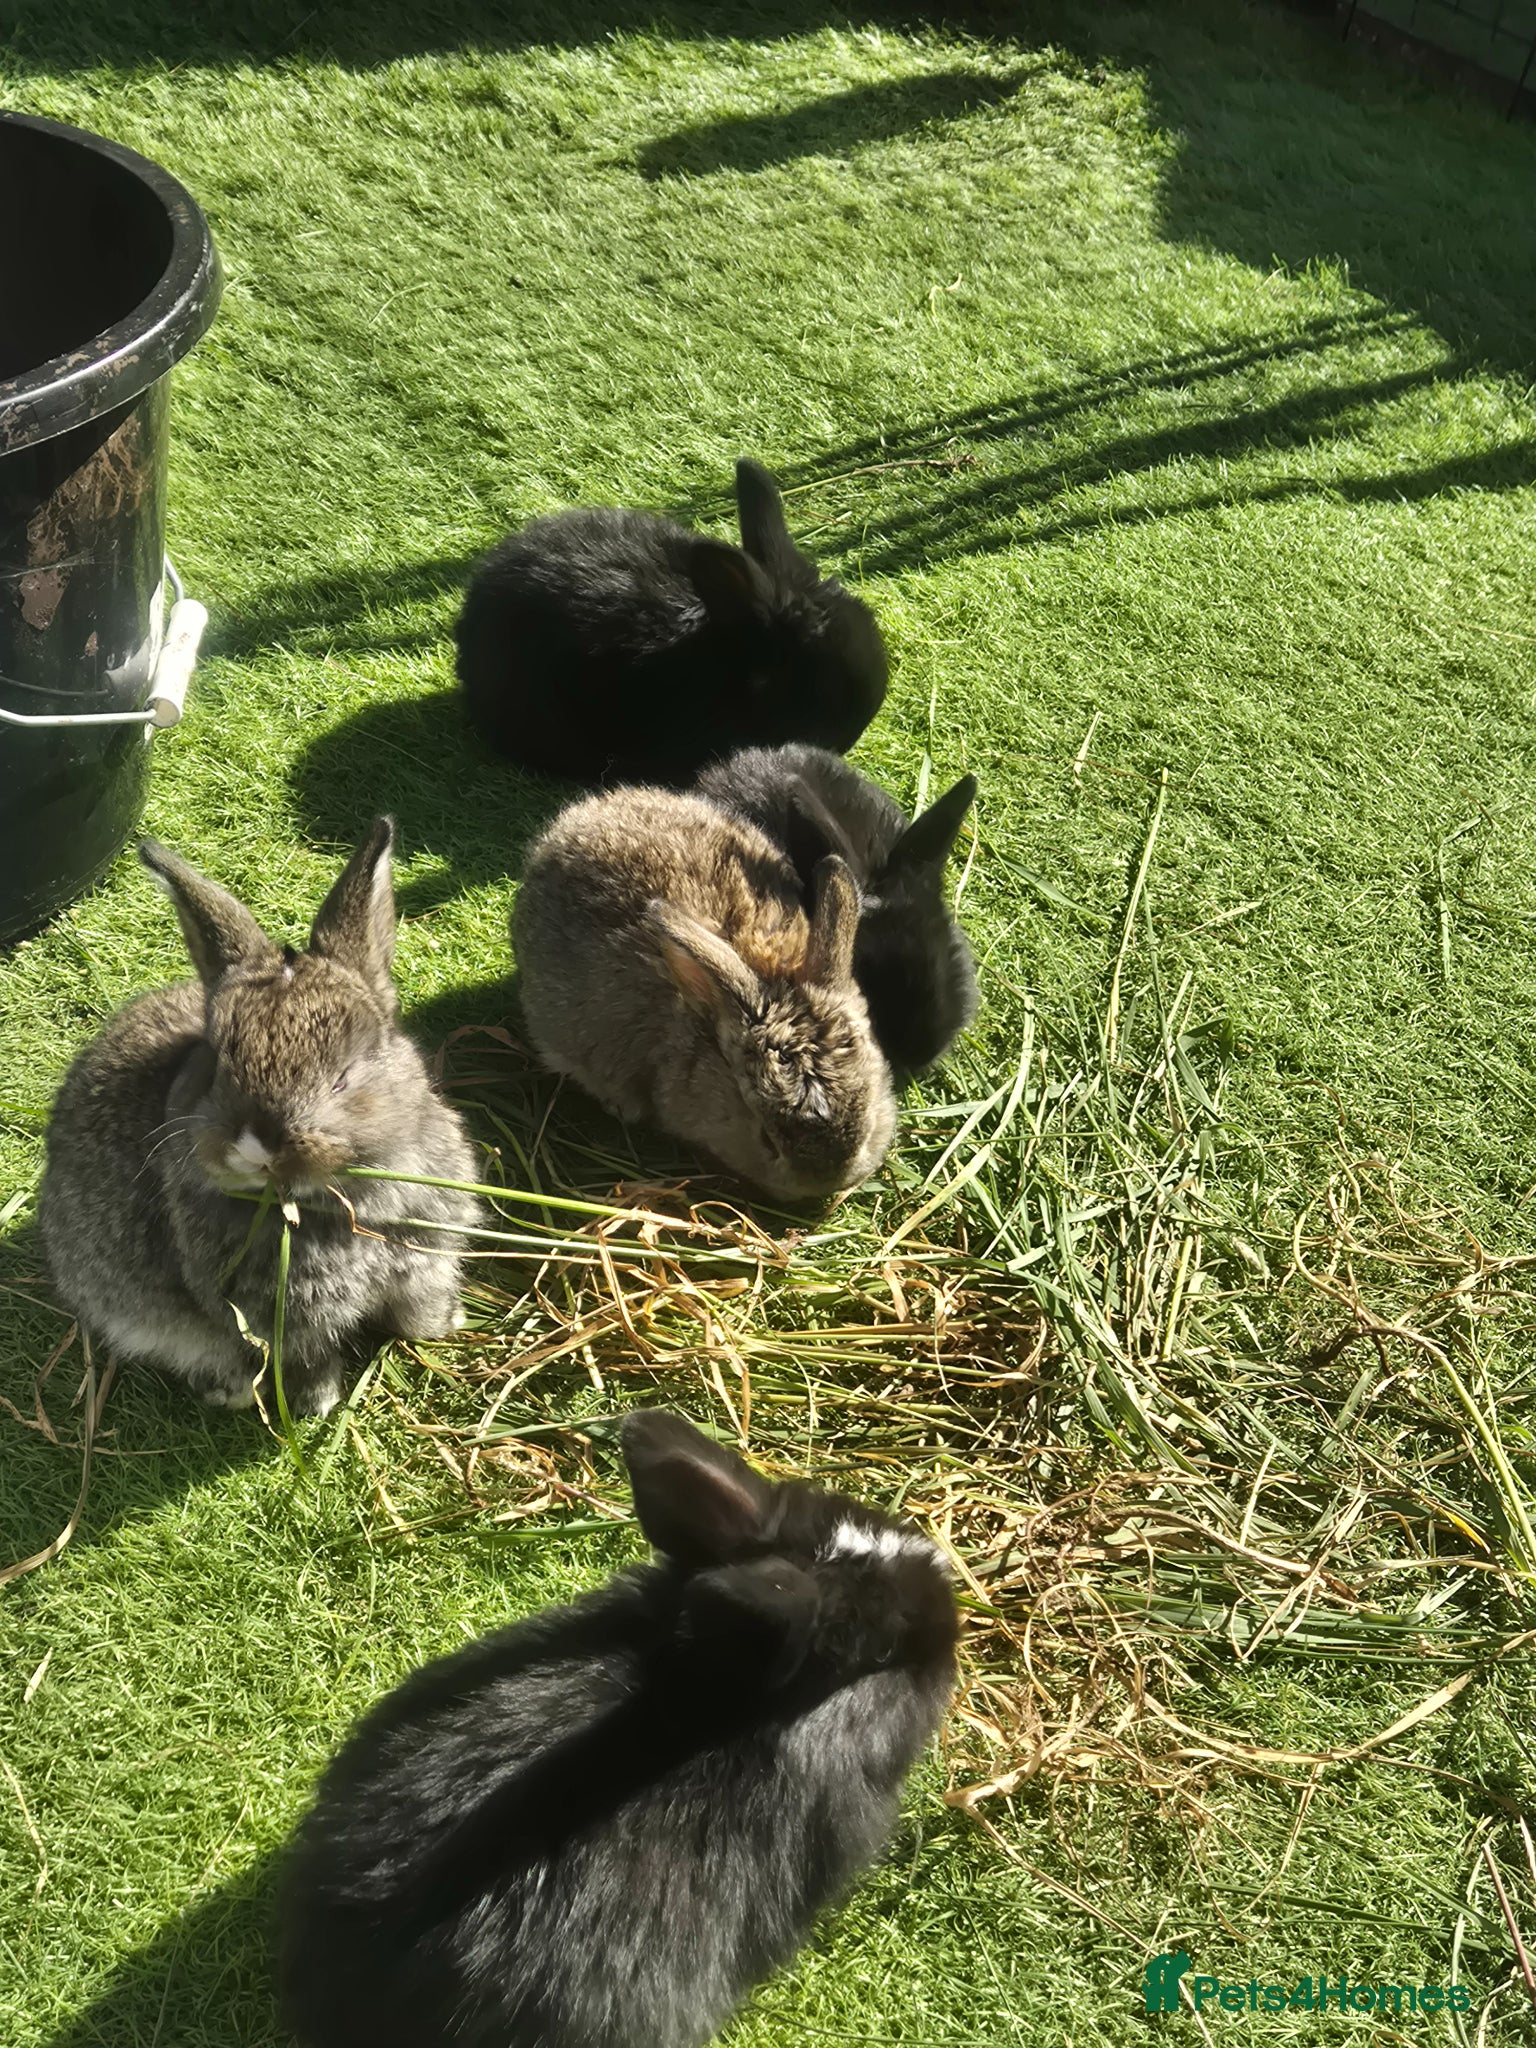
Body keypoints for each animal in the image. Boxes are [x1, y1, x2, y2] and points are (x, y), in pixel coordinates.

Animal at [36, 819, 481, 1419]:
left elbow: (417, 1311)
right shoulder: (282, 1321)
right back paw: (231, 1389)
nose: (256, 1147)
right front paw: (318, 1406)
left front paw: (445, 1325)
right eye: (216, 1066)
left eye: (343, 1077)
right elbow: (307, 1360)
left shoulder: (426, 1264)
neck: (345, 1204)